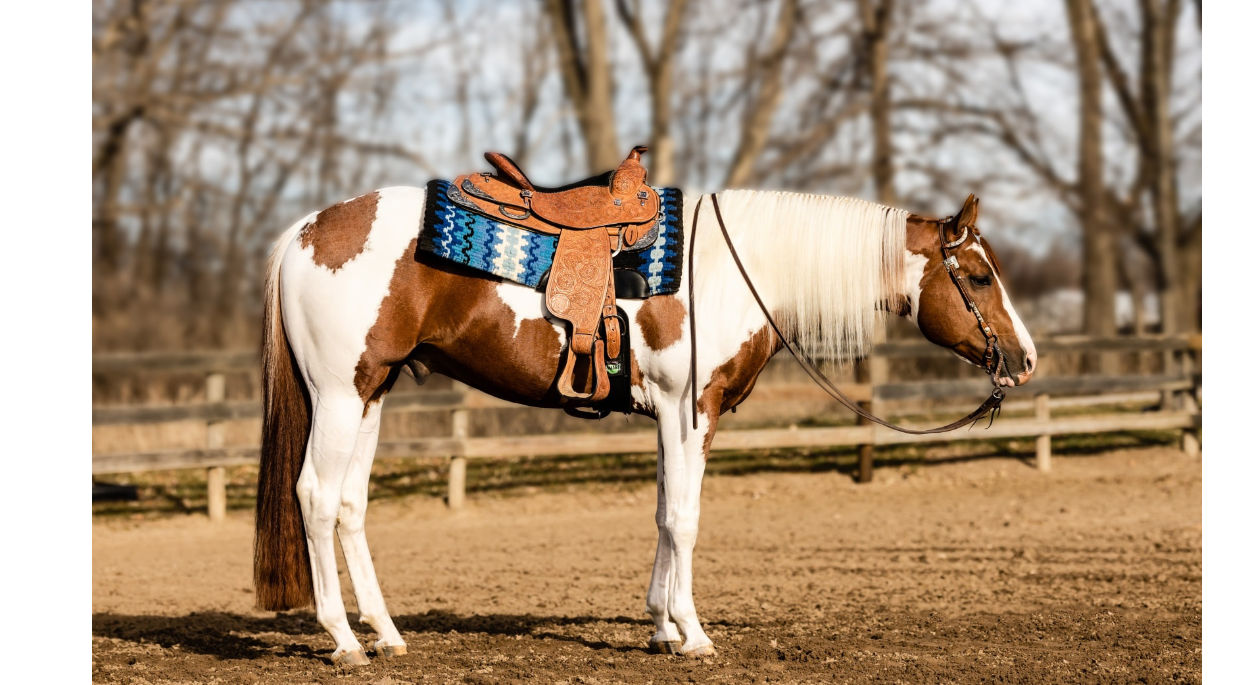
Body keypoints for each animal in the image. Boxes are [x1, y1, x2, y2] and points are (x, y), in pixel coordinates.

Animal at [253, 185, 1037, 665]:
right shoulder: (689, 412)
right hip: (337, 394)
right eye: (978, 275)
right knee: (315, 497)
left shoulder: (674, 418)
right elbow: (683, 520)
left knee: (349, 505)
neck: (728, 271)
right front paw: (693, 634)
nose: (1025, 359)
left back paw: (385, 634)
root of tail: (304, 233)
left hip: (371, 393)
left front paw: (661, 626)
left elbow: (663, 513)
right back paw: (344, 642)